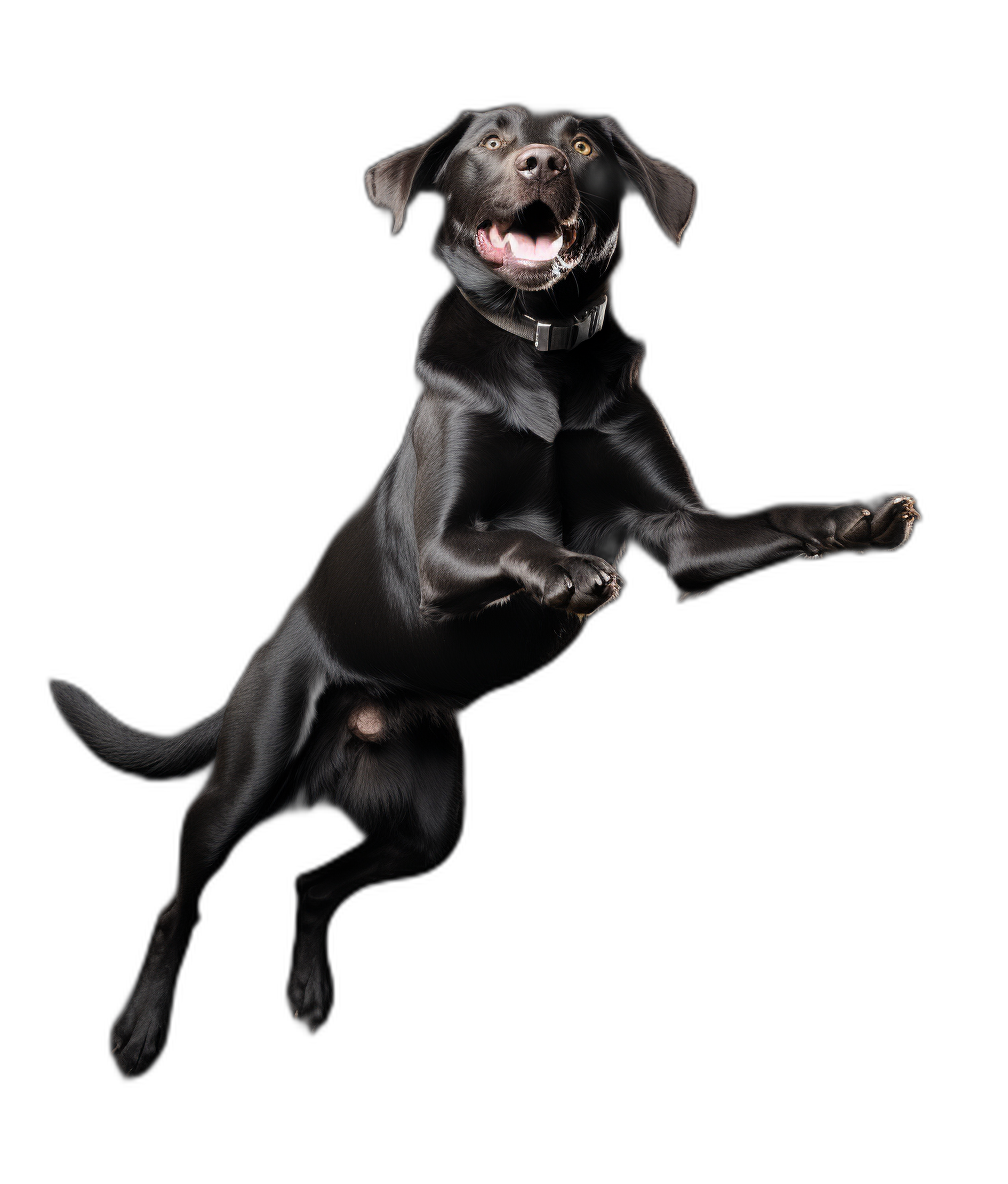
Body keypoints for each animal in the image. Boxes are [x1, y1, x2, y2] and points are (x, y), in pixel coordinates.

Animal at [51, 106, 919, 1079]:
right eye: (493, 145)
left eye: (584, 146)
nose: (542, 162)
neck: (543, 353)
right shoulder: (440, 552)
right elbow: (514, 538)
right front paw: (568, 572)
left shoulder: (684, 534)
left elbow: (770, 516)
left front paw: (855, 517)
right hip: (243, 780)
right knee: (182, 903)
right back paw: (139, 1030)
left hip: (428, 827)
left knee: (313, 884)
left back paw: (308, 993)